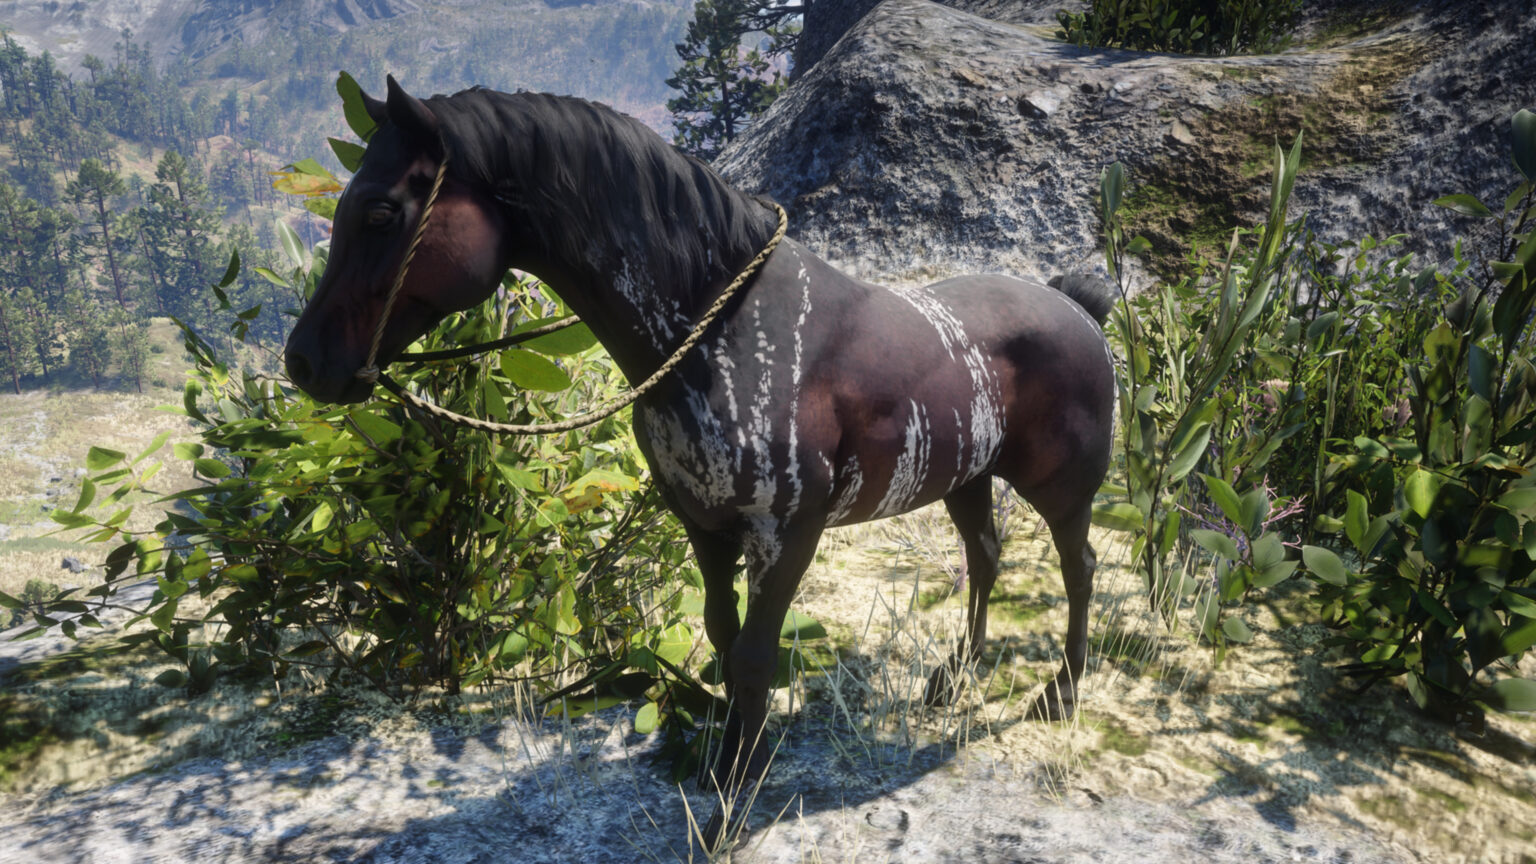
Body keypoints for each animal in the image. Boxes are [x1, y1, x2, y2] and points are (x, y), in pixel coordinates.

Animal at [283, 76, 1117, 844]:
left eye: (382, 211)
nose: (305, 363)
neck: (721, 330)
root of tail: (1077, 305)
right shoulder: (705, 524)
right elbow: (721, 634)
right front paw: (727, 763)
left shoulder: (786, 533)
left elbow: (753, 657)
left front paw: (733, 809)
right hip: (965, 477)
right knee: (985, 557)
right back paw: (954, 677)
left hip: (1061, 488)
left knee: (1078, 570)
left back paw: (1061, 694)